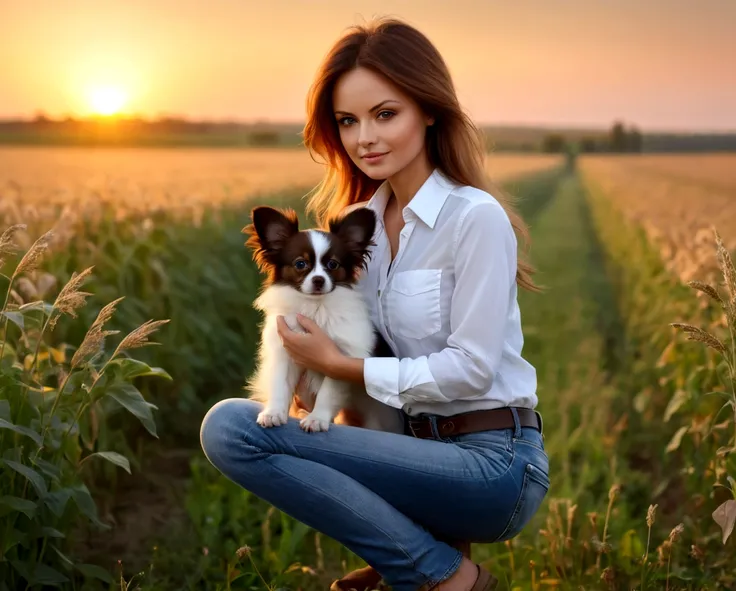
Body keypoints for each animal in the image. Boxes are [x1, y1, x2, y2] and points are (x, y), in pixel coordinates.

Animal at [242, 205, 402, 434]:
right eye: (300, 264)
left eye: (333, 264)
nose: (318, 280)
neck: (315, 308)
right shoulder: (284, 353)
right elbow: (280, 385)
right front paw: (273, 413)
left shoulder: (338, 358)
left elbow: (328, 392)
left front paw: (317, 419)